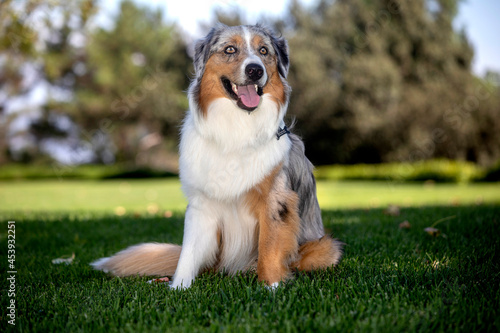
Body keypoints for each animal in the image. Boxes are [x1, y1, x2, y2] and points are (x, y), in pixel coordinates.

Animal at [91, 24, 344, 288]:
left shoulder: (275, 200)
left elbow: (270, 248)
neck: (238, 126)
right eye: (230, 49)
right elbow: (188, 252)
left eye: (264, 51)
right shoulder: (201, 204)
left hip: (326, 247)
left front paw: (271, 286)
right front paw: (179, 288)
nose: (255, 70)